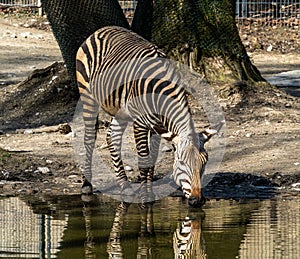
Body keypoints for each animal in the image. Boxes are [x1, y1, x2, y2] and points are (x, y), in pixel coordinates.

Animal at [76, 25, 219, 207]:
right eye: (181, 162)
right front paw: (144, 198)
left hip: (121, 110)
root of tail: (104, 28)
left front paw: (149, 194)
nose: (197, 201)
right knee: (89, 138)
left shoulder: (158, 126)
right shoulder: (140, 124)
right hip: (87, 96)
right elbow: (144, 161)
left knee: (112, 137)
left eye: (204, 162)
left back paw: (125, 187)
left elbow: (152, 160)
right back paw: (86, 185)